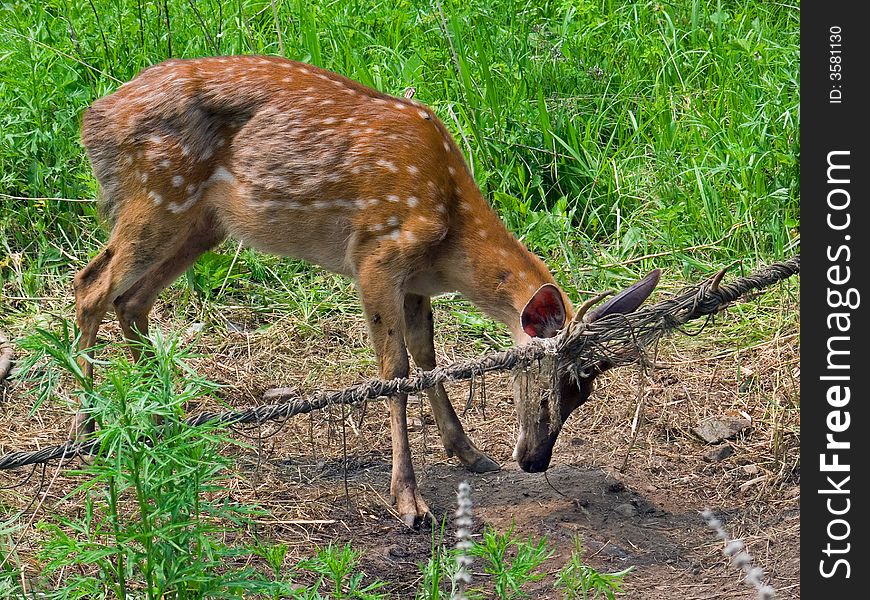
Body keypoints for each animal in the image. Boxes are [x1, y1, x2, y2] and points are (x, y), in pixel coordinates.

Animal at [76, 55, 660, 524]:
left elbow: (428, 360)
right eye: (550, 382)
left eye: (584, 391)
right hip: (158, 195)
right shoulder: (377, 255)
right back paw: (87, 427)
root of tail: (91, 120)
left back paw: (167, 419)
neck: (450, 237)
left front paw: (469, 453)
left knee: (132, 299)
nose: (536, 461)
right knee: (92, 285)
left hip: (201, 223)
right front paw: (409, 501)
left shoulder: (417, 282)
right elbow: (395, 371)